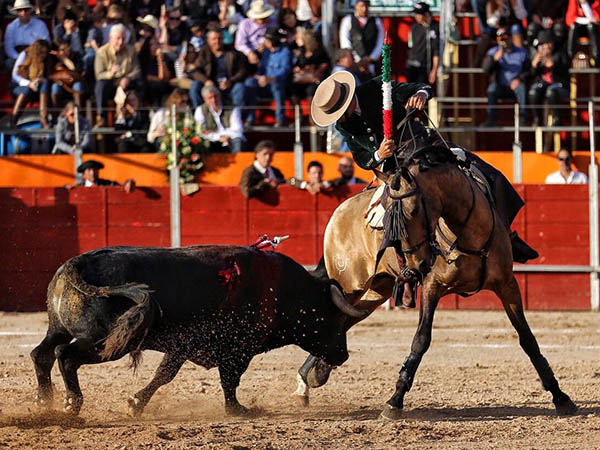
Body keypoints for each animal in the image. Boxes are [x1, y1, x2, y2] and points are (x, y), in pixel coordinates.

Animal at [31, 245, 367, 417]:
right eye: (336, 320)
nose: (344, 355)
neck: (284, 291)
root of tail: (78, 263)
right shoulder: (236, 350)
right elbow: (229, 379)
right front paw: (238, 409)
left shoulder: (182, 346)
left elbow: (164, 375)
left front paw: (137, 403)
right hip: (107, 342)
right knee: (65, 356)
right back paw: (71, 404)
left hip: (58, 328)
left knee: (42, 354)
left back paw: (45, 402)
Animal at [293, 145, 578, 419]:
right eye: (388, 216)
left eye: (414, 210)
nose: (415, 265)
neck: (468, 231)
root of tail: (338, 212)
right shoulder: (433, 286)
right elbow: (421, 339)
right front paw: (395, 400)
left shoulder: (507, 285)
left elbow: (527, 339)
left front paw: (561, 397)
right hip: (349, 284)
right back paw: (308, 379)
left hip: (376, 289)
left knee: (343, 319)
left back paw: (312, 375)